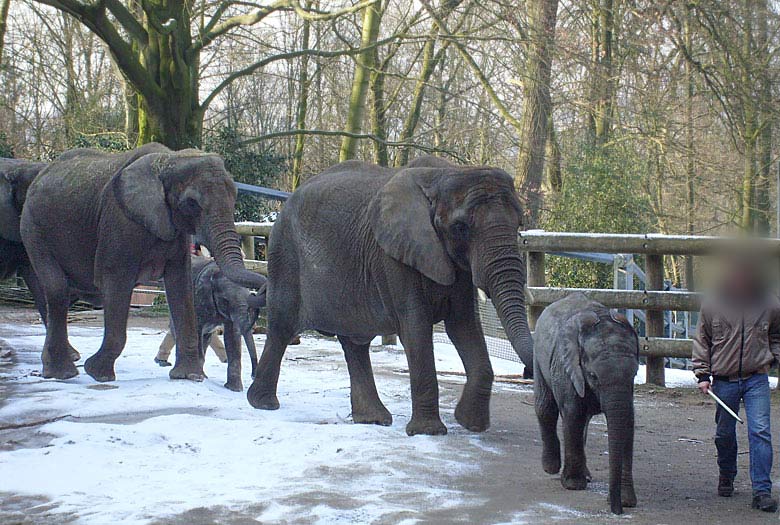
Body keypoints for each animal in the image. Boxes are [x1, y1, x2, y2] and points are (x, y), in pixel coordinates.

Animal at [250, 155, 536, 434]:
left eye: (519, 224)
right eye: (460, 227)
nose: (526, 371)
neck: (445, 174)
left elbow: (463, 325)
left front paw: (471, 424)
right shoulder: (395, 256)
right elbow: (416, 327)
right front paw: (428, 432)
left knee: (354, 343)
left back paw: (373, 419)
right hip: (285, 253)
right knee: (282, 326)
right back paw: (263, 404)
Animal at [536, 292, 640, 512]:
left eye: (635, 373)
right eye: (593, 376)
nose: (617, 512)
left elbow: (628, 422)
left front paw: (627, 501)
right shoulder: (566, 367)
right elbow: (573, 414)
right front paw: (573, 485)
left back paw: (587, 475)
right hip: (539, 357)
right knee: (546, 408)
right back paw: (551, 467)